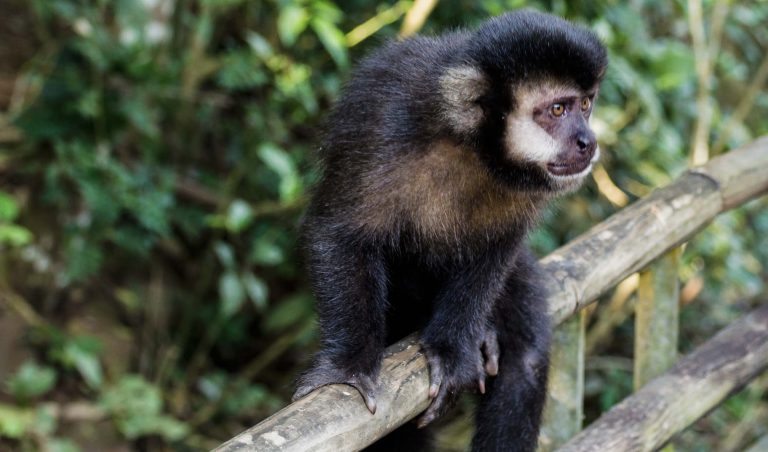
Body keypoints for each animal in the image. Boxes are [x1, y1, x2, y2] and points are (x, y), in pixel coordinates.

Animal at [292, 10, 607, 451]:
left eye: (586, 104)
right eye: (558, 109)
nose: (587, 141)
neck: (469, 141)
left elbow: (498, 249)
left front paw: (453, 350)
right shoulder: (383, 123)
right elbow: (342, 233)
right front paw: (348, 368)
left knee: (524, 358)